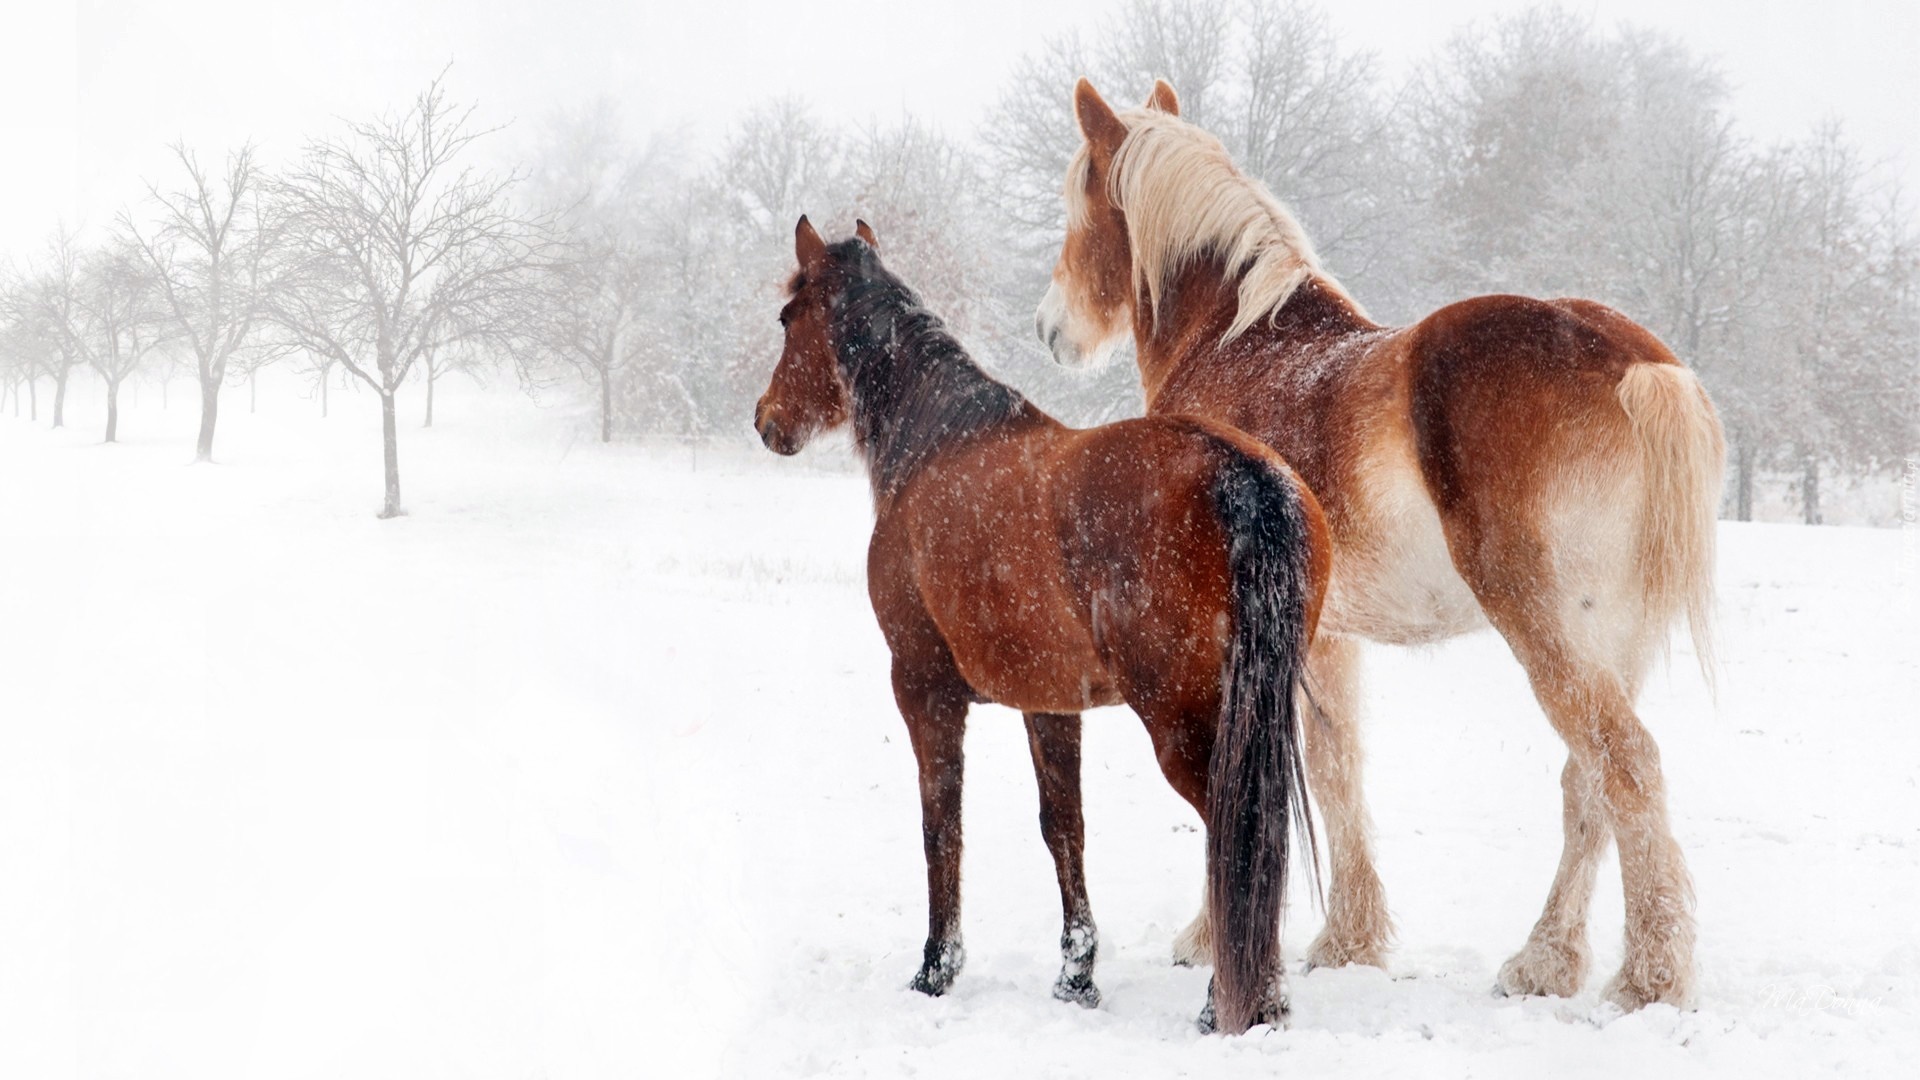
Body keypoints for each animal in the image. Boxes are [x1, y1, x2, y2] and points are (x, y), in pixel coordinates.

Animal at [752, 214, 1336, 1030]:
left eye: (787, 317)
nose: (766, 420)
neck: (937, 445)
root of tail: (1238, 471)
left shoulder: (924, 689)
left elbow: (941, 822)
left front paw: (935, 969)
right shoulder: (1051, 705)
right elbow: (1064, 828)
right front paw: (1076, 976)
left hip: (1184, 721)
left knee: (1236, 831)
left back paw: (1233, 1003)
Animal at [1036, 77, 1728, 1006]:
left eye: (1077, 204)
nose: (1051, 330)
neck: (1238, 345)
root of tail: (1636, 364)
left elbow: (1244, 769)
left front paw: (1215, 936)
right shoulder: (1328, 636)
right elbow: (1339, 770)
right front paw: (1351, 941)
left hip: (1547, 628)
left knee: (1625, 766)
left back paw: (1647, 977)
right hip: (1614, 640)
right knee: (1588, 784)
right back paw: (1545, 961)